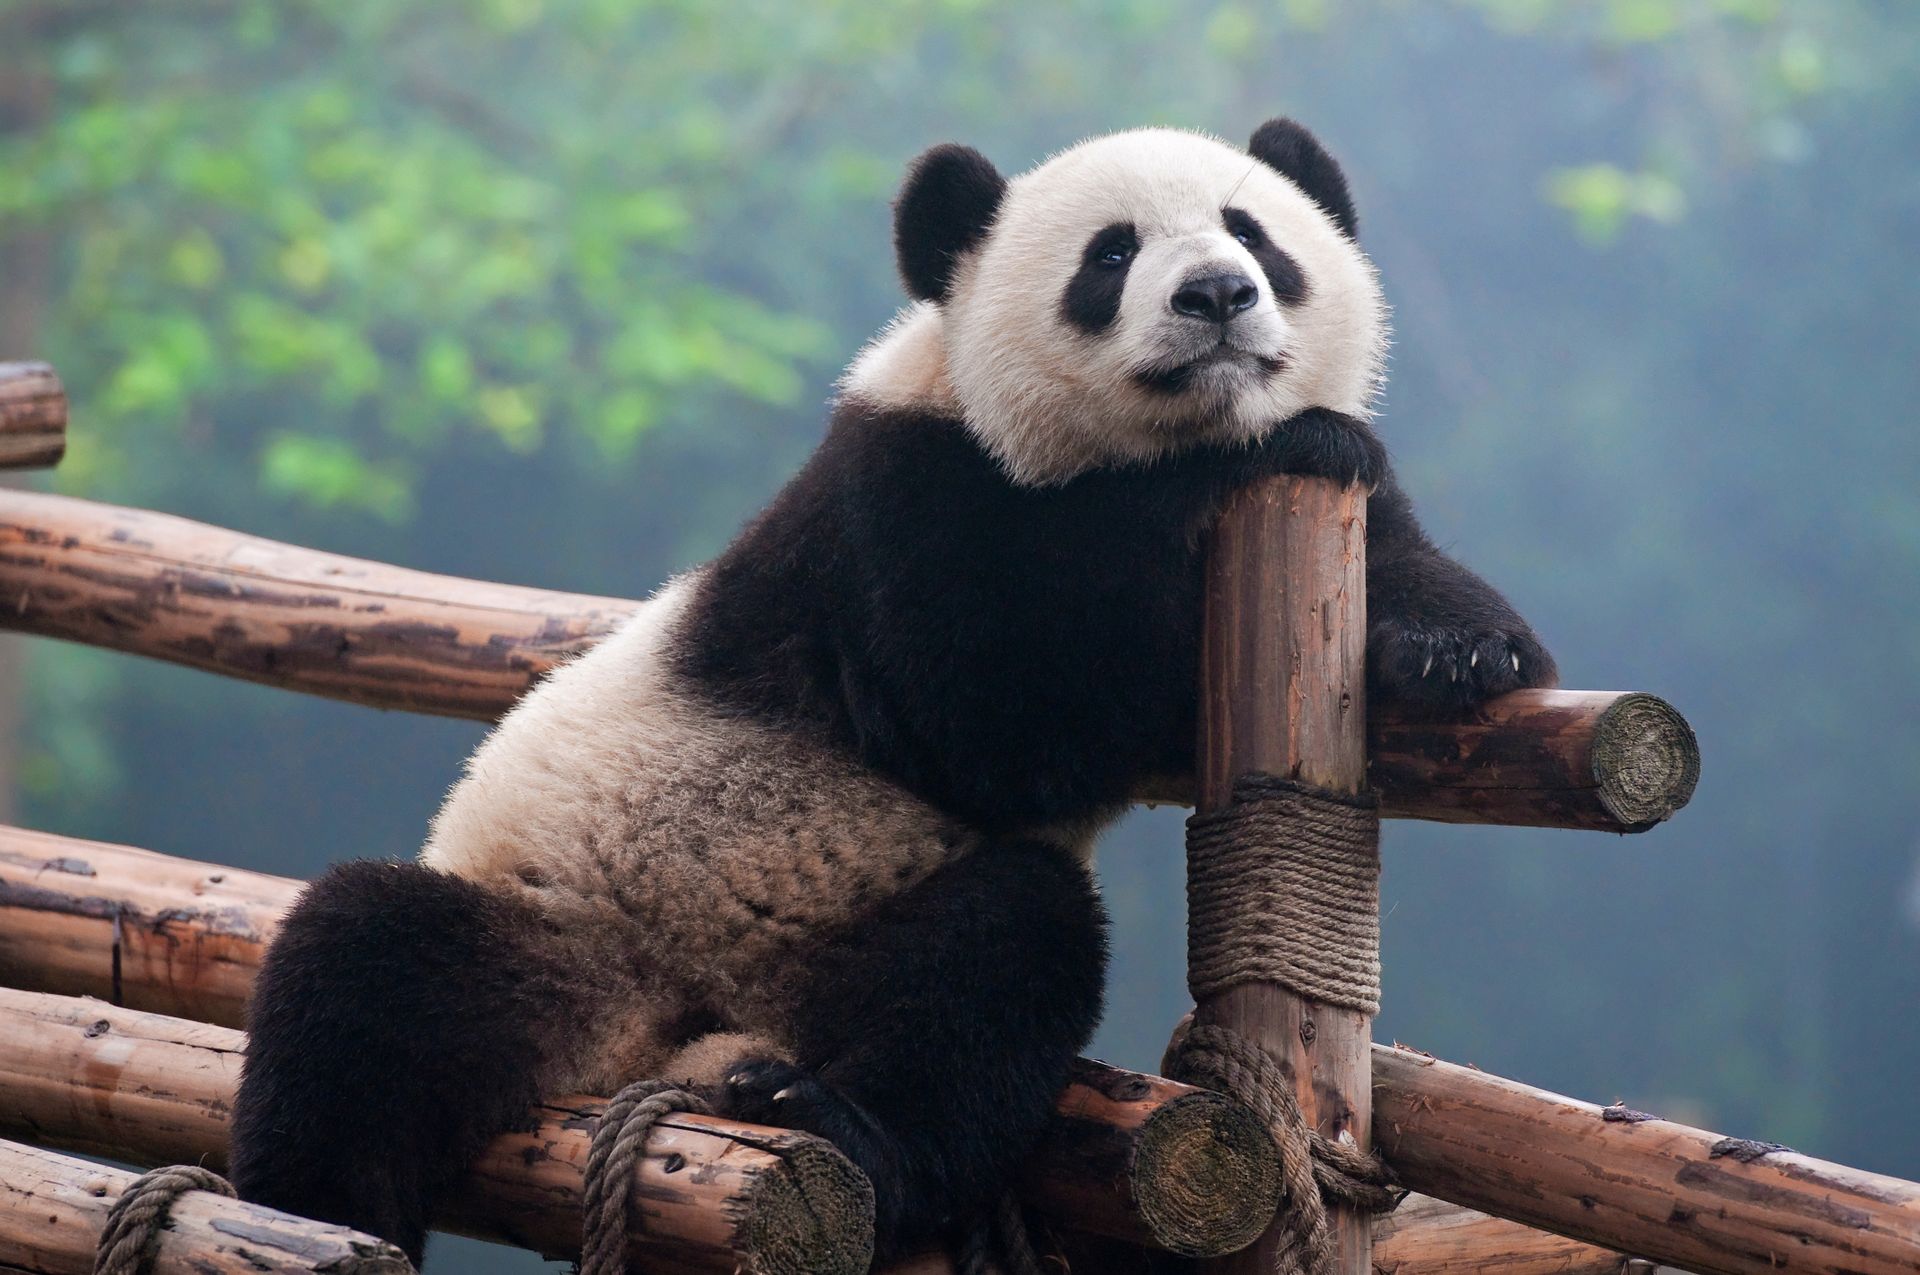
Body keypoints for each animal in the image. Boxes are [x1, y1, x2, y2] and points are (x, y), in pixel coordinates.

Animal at [231, 117, 1555, 1265]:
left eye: (1254, 231)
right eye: (1111, 255)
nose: (1219, 295)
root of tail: (673, 1038)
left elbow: (1399, 561)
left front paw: (1456, 649)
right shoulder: (902, 498)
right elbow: (994, 711)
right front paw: (1260, 460)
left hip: (838, 946)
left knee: (987, 968)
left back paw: (826, 1114)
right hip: (562, 925)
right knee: (360, 984)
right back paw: (325, 1216)